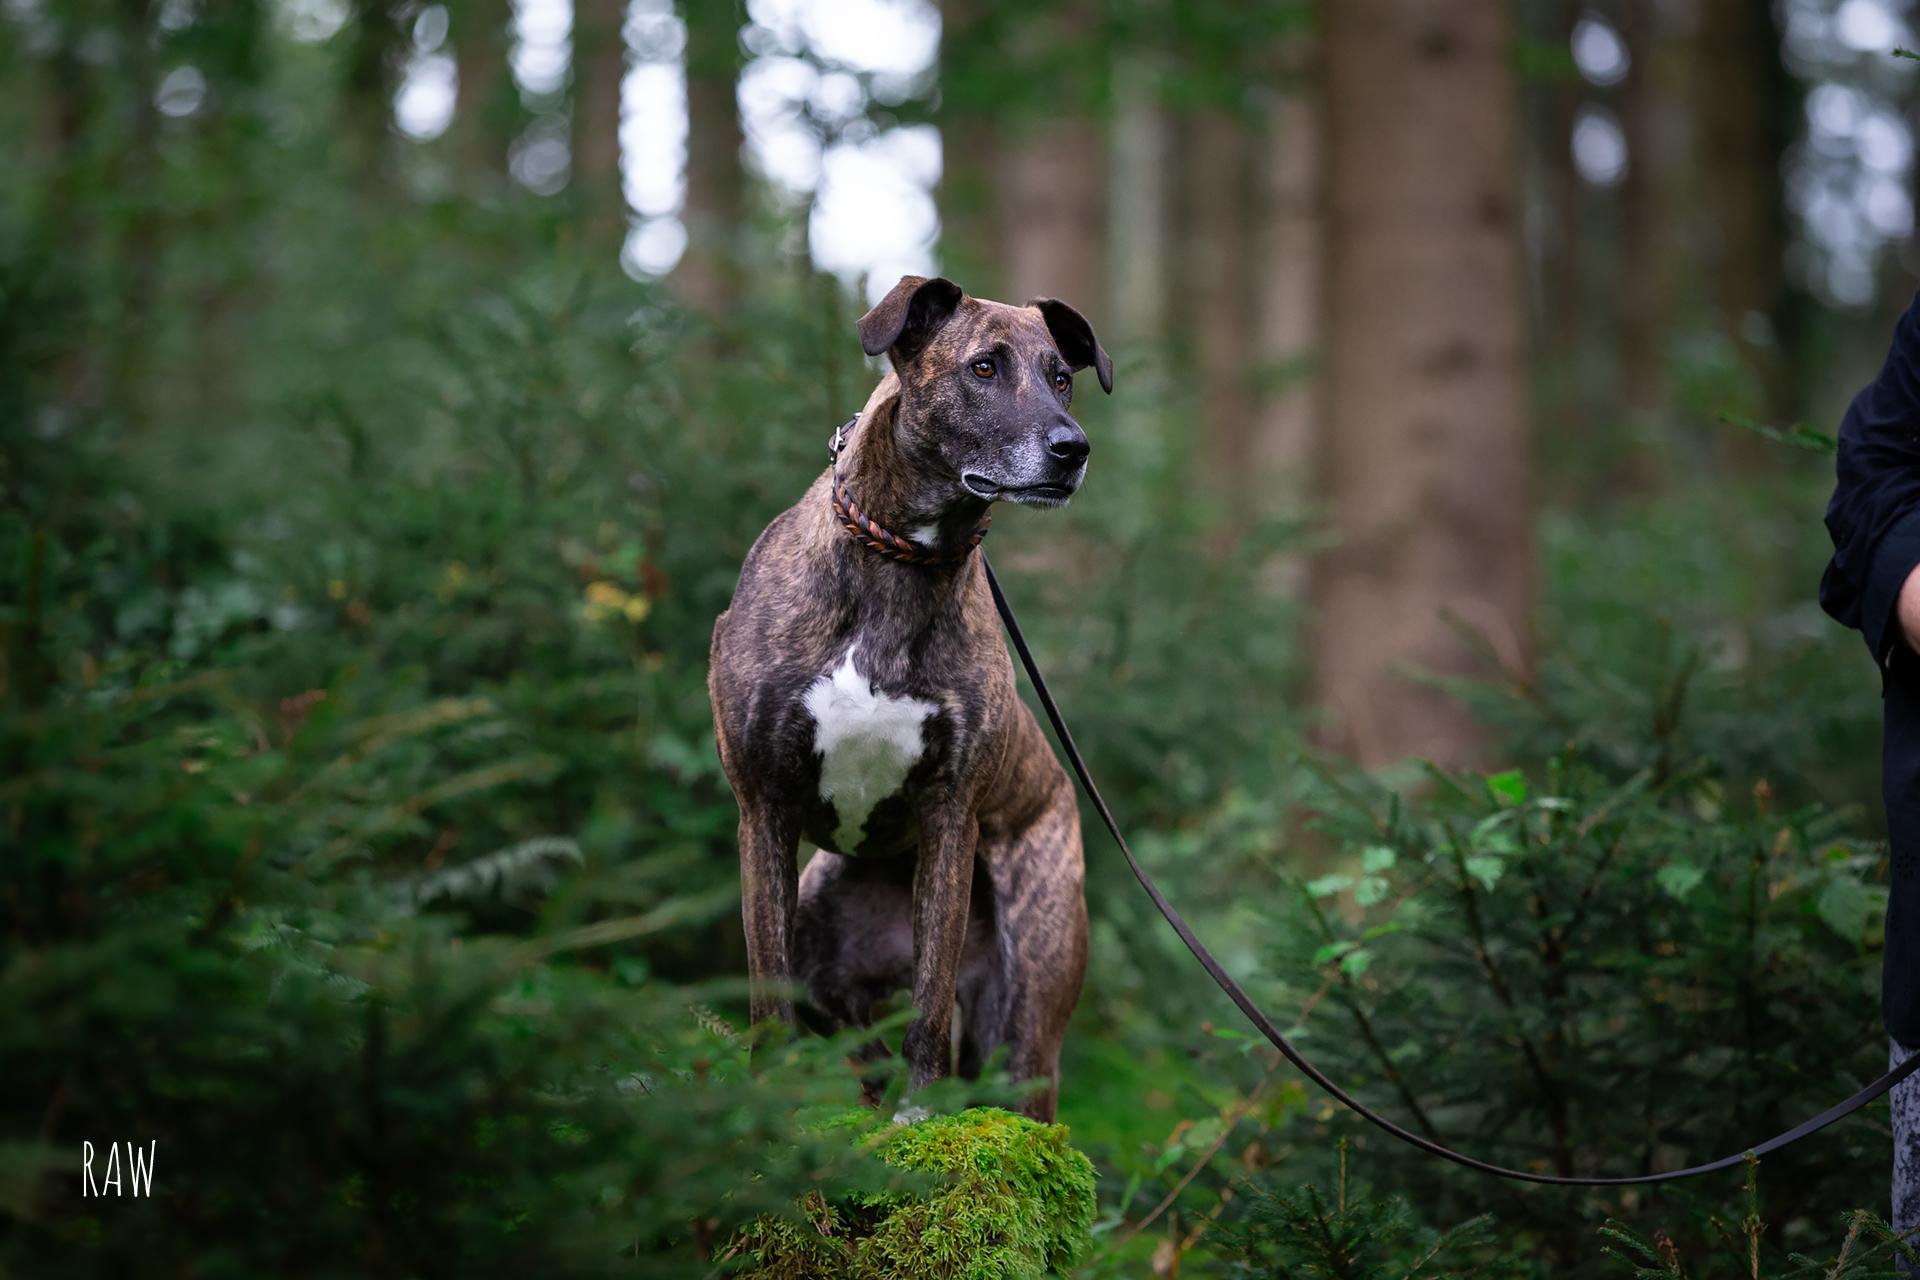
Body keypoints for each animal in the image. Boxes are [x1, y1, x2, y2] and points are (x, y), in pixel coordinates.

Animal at [714, 272, 1121, 1120]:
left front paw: (921, 1113)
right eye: (984, 368)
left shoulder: (950, 814)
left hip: (1027, 1005)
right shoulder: (762, 806)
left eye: (1062, 378)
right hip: (823, 935)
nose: (1073, 449)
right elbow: (766, 989)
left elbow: (930, 1004)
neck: (901, 560)